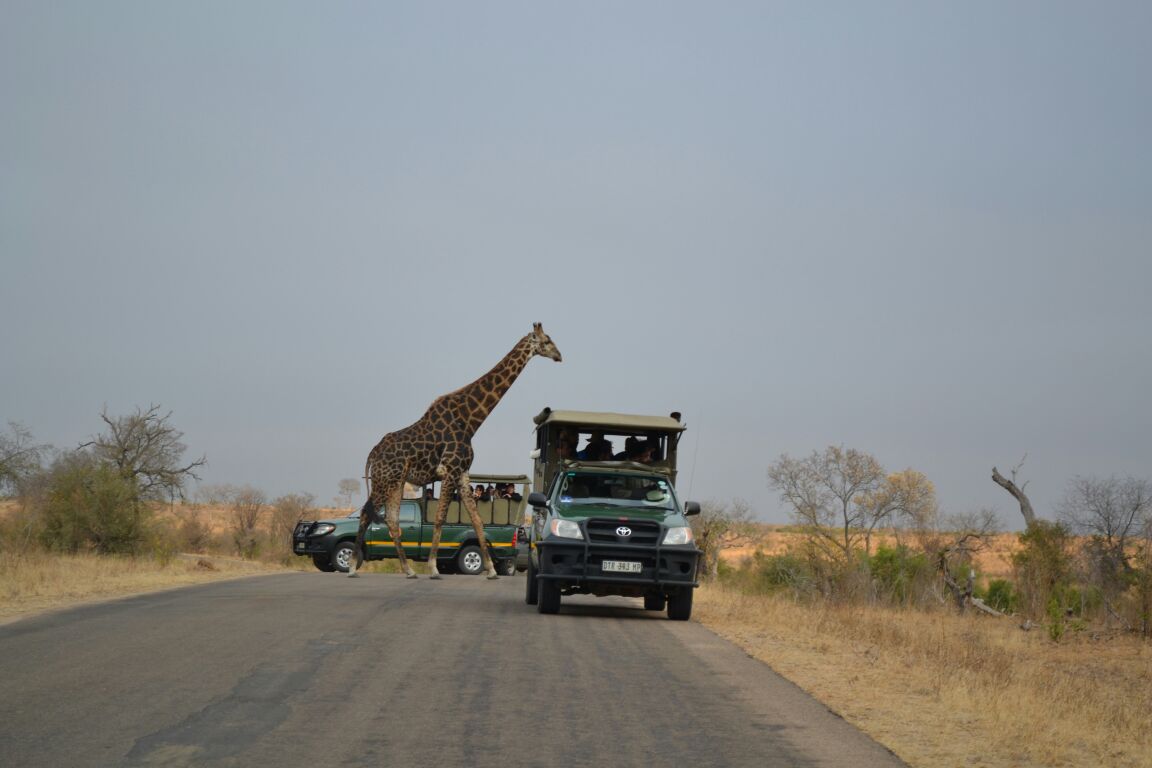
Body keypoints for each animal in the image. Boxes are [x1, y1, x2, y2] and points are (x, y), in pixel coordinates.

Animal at [348, 322, 562, 579]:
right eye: (547, 340)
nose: (559, 356)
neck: (470, 421)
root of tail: (373, 453)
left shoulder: (462, 473)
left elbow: (477, 520)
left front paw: (491, 570)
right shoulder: (449, 470)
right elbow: (440, 518)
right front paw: (433, 567)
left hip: (396, 482)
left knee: (391, 520)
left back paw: (409, 570)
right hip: (384, 479)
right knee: (366, 513)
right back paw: (352, 567)